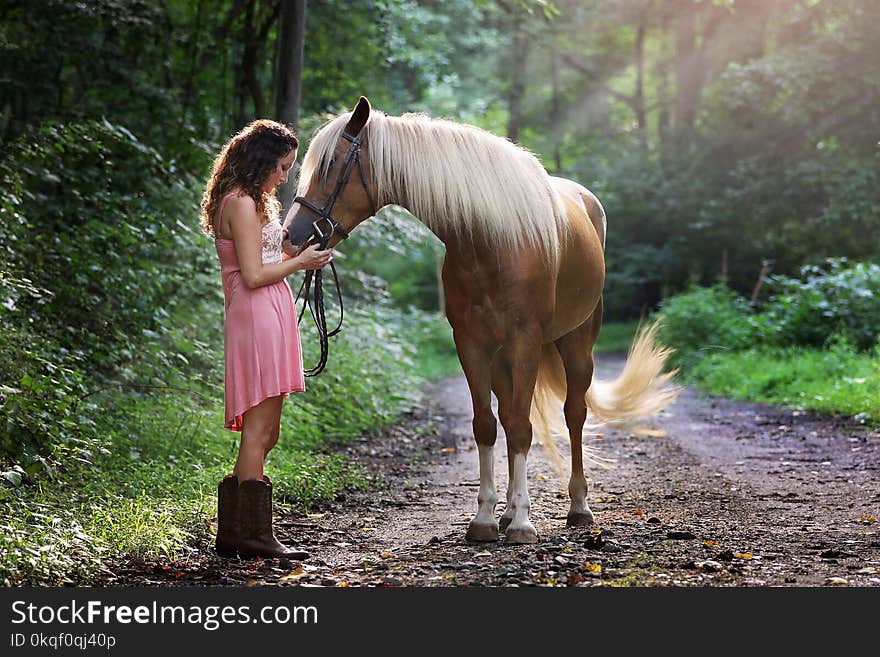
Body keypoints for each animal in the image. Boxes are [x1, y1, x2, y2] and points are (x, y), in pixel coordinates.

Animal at [286, 96, 676, 544]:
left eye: (332, 164)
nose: (291, 236)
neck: (490, 241)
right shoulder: (471, 344)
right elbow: (487, 426)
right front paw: (487, 518)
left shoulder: (525, 342)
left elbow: (523, 428)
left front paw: (523, 523)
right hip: (503, 359)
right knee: (508, 416)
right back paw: (507, 511)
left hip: (577, 344)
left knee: (573, 414)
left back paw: (578, 507)